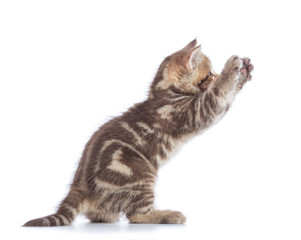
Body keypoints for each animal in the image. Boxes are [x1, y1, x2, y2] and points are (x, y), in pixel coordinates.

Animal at [24, 39, 253, 227]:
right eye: (211, 74)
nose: (218, 73)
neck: (163, 92)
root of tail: (78, 187)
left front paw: (245, 72)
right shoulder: (198, 111)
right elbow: (219, 93)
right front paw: (233, 68)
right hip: (142, 175)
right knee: (137, 215)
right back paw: (168, 215)